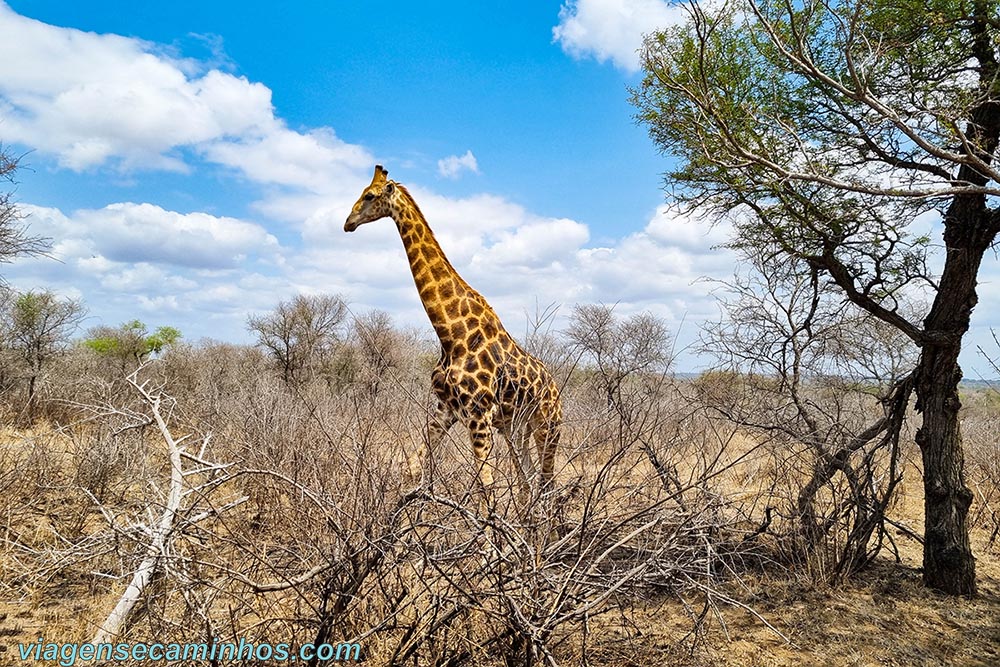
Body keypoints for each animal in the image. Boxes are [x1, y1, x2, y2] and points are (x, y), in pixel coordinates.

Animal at [346, 166, 564, 500]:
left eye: (369, 196)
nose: (348, 223)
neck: (450, 334)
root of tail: (557, 391)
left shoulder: (479, 415)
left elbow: (486, 487)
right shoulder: (444, 409)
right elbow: (412, 466)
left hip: (547, 426)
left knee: (547, 484)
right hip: (515, 430)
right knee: (527, 483)